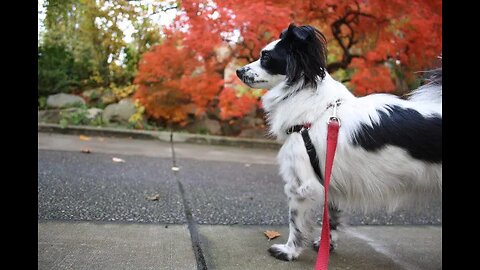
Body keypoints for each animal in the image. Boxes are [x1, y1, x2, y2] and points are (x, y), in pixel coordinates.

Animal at [236, 23, 442, 262]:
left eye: (266, 57)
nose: (238, 71)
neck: (316, 111)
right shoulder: (328, 177)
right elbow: (331, 216)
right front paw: (327, 244)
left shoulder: (301, 185)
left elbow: (295, 223)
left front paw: (289, 251)